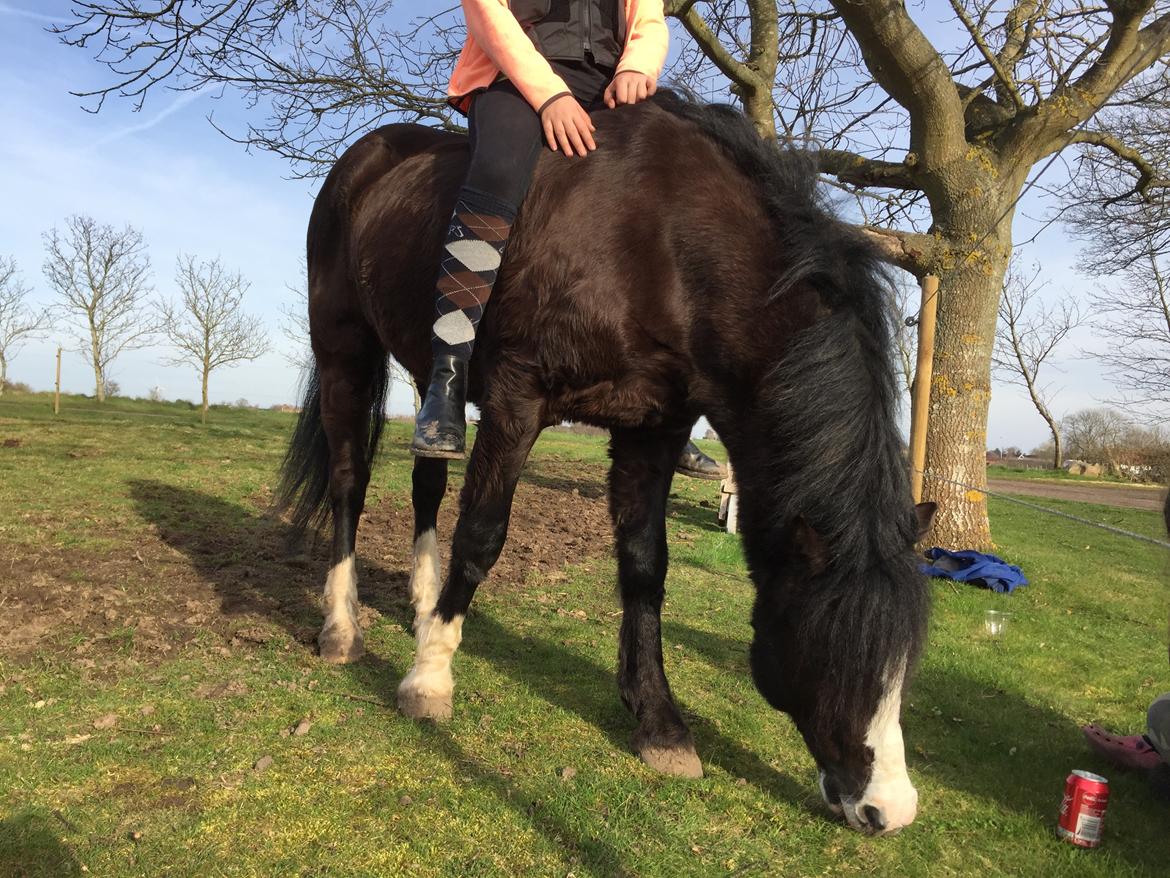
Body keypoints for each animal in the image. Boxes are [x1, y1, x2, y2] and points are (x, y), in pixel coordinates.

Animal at [277, 91, 935, 836]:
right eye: (834, 646)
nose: (891, 809)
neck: (665, 242)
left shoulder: (653, 430)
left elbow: (646, 568)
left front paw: (659, 723)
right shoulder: (516, 399)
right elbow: (481, 536)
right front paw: (429, 677)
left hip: (424, 369)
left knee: (427, 478)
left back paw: (422, 600)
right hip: (344, 347)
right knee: (348, 482)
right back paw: (342, 626)